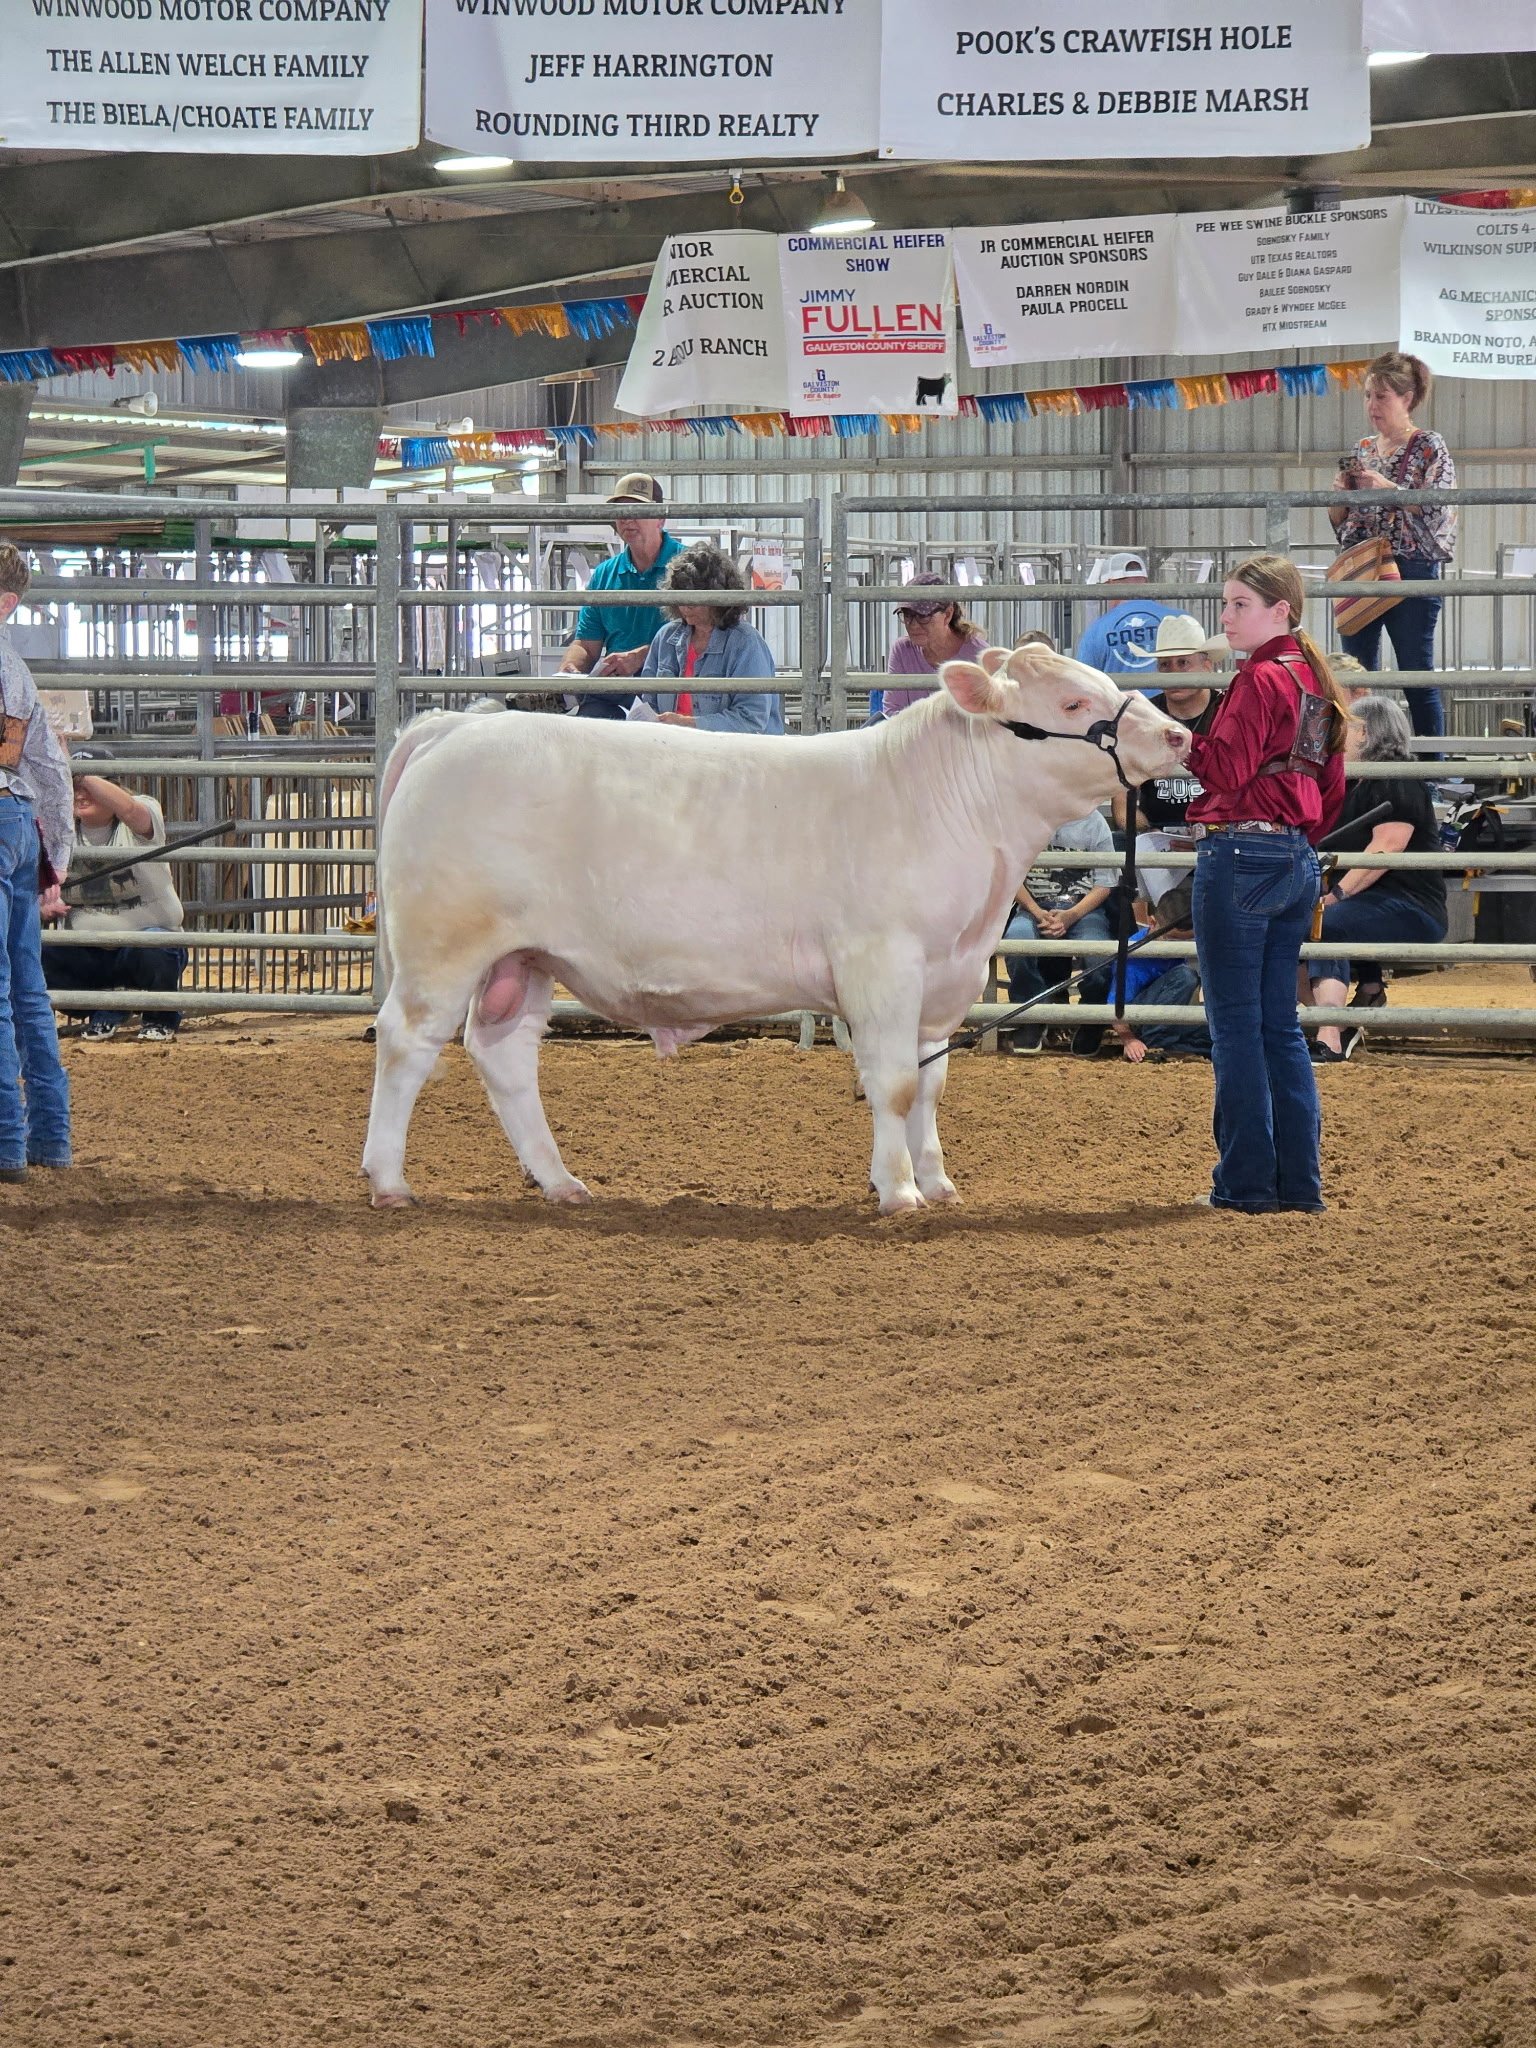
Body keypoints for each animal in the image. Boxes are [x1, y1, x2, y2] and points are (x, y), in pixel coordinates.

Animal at [362, 645, 1190, 1215]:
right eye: (1075, 703)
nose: (1179, 735)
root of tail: (453, 726)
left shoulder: (946, 979)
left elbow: (930, 1084)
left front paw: (937, 1181)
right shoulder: (881, 964)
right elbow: (892, 1084)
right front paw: (897, 1192)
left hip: (525, 958)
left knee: (504, 1055)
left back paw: (561, 1180)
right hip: (444, 945)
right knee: (407, 1042)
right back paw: (389, 1180)